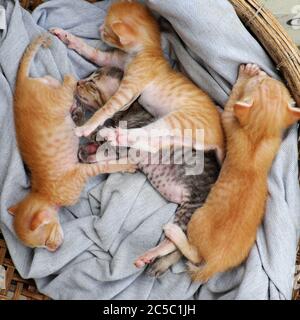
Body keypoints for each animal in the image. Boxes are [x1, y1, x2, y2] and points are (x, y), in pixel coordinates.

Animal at [8, 34, 136, 250]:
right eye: (41, 247)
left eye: (45, 242)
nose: (54, 249)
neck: (43, 193)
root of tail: (20, 85)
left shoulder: (83, 171)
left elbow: (106, 166)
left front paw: (126, 165)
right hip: (50, 88)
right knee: (57, 82)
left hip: (59, 97)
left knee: (68, 80)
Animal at [50, 0, 225, 161]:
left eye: (106, 31)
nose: (99, 28)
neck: (146, 50)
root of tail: (221, 137)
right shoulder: (110, 61)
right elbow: (90, 51)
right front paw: (65, 36)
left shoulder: (128, 89)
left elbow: (107, 107)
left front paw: (86, 126)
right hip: (179, 138)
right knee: (152, 143)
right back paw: (117, 137)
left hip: (179, 121)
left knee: (148, 131)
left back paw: (112, 133)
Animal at [72, 66, 220, 276]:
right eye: (88, 77)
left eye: (93, 82)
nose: (78, 82)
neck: (131, 110)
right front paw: (88, 149)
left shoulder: (124, 144)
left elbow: (102, 142)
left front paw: (79, 119)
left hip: (192, 208)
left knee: (176, 244)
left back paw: (151, 255)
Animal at [163, 63, 300, 282]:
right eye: (270, 82)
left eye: (262, 82)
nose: (266, 74)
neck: (259, 134)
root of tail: (216, 263)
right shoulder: (274, 139)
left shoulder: (231, 120)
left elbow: (231, 102)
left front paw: (246, 74)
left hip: (197, 219)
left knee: (194, 255)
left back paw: (174, 232)